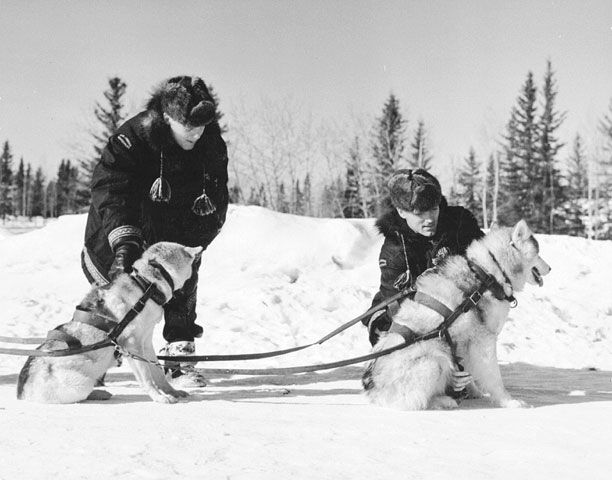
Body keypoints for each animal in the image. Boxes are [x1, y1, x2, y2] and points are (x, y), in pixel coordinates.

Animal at [16, 242, 203, 404]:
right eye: (191, 260)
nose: (199, 251)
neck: (146, 286)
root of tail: (22, 392)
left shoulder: (146, 343)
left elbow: (157, 372)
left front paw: (171, 392)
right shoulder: (132, 346)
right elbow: (147, 377)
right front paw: (158, 397)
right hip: (81, 383)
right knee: (81, 396)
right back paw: (99, 393)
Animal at [360, 219, 552, 410]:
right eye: (538, 254)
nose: (550, 268)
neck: (489, 274)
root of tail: (374, 390)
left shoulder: (464, 341)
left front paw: (473, 390)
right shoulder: (483, 339)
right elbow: (494, 377)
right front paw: (508, 401)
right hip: (433, 360)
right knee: (410, 402)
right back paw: (443, 401)